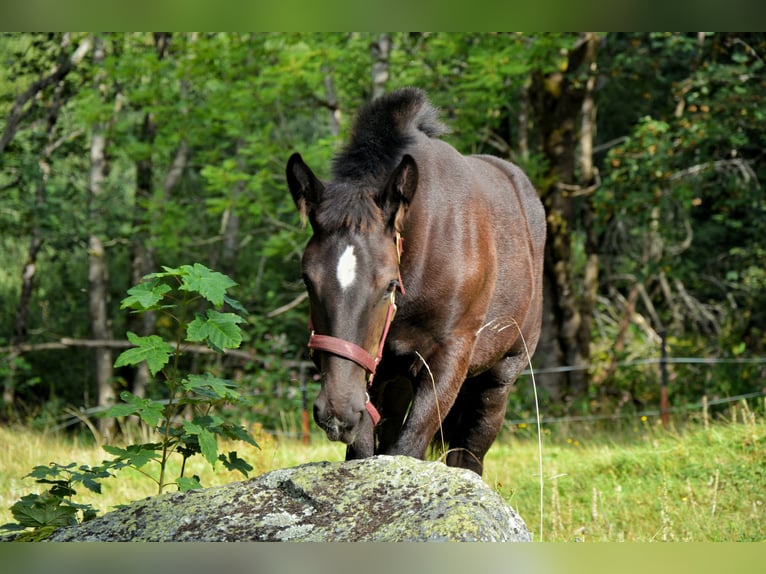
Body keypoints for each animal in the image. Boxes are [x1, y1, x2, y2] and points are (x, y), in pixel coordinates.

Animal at [286, 89, 544, 476]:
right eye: (307, 280)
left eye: (390, 285)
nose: (336, 412)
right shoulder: (370, 377)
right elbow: (367, 454)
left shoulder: (448, 357)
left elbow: (407, 449)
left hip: (498, 378)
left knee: (468, 456)